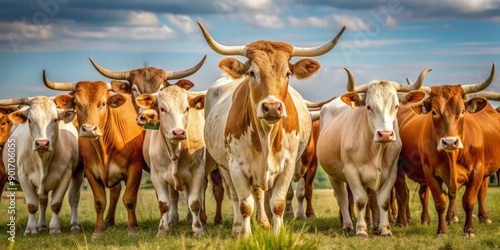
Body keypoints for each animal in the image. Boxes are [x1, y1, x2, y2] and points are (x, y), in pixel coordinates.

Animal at [0, 96, 81, 235]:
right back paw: (41, 225)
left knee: (72, 198)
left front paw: (54, 227)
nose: (42, 143)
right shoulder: (23, 176)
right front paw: (31, 228)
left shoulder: (66, 176)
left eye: (55, 119)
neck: (43, 160)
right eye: (29, 120)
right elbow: (32, 205)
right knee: (42, 201)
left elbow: (56, 204)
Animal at [43, 71, 146, 238]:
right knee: (115, 192)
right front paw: (99, 230)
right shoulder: (91, 172)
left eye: (103, 104)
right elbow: (99, 201)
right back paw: (109, 221)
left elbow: (129, 199)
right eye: (77, 104)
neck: (106, 147)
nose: (89, 129)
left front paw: (132, 228)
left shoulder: (135, 169)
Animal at [197, 21, 346, 236]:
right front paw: (245, 235)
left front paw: (277, 232)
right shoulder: (236, 167)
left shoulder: (288, 165)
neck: (266, 134)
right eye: (252, 73)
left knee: (260, 194)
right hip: (224, 166)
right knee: (234, 196)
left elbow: (278, 203)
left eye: (288, 74)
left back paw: (265, 223)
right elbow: (245, 204)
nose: (272, 107)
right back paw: (236, 227)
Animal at [316, 68, 430, 236]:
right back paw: (347, 225)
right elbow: (360, 200)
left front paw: (385, 229)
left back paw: (375, 224)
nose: (385, 134)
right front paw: (361, 230)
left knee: (372, 198)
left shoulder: (391, 172)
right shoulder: (351, 171)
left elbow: (383, 201)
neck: (376, 149)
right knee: (342, 198)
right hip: (332, 174)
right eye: (369, 107)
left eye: (396, 106)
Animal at [396, 63, 498, 237]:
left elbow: (469, 200)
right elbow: (440, 201)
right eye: (434, 112)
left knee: (481, 191)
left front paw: (469, 230)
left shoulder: (478, 169)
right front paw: (442, 231)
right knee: (402, 193)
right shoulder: (429, 172)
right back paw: (402, 222)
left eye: (462, 111)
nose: (450, 142)